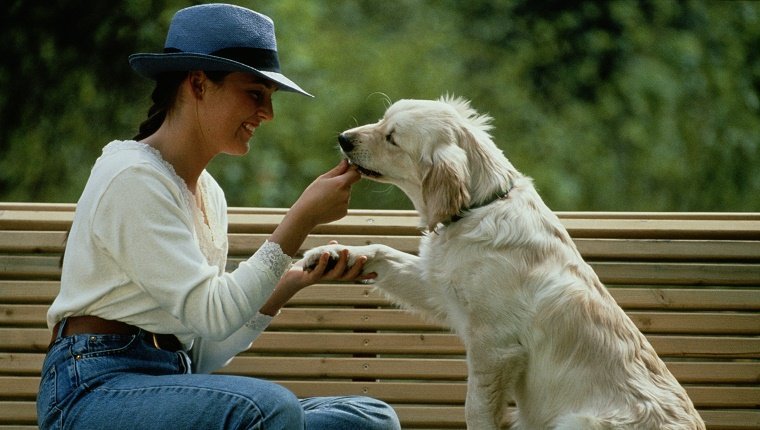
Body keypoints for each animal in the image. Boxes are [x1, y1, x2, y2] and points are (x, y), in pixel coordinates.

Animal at [300, 97, 704, 430]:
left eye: (392, 138)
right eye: (383, 119)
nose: (343, 138)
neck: (480, 206)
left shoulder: (495, 346)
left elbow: (476, 409)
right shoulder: (438, 288)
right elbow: (382, 249)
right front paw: (331, 254)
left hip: (577, 423)